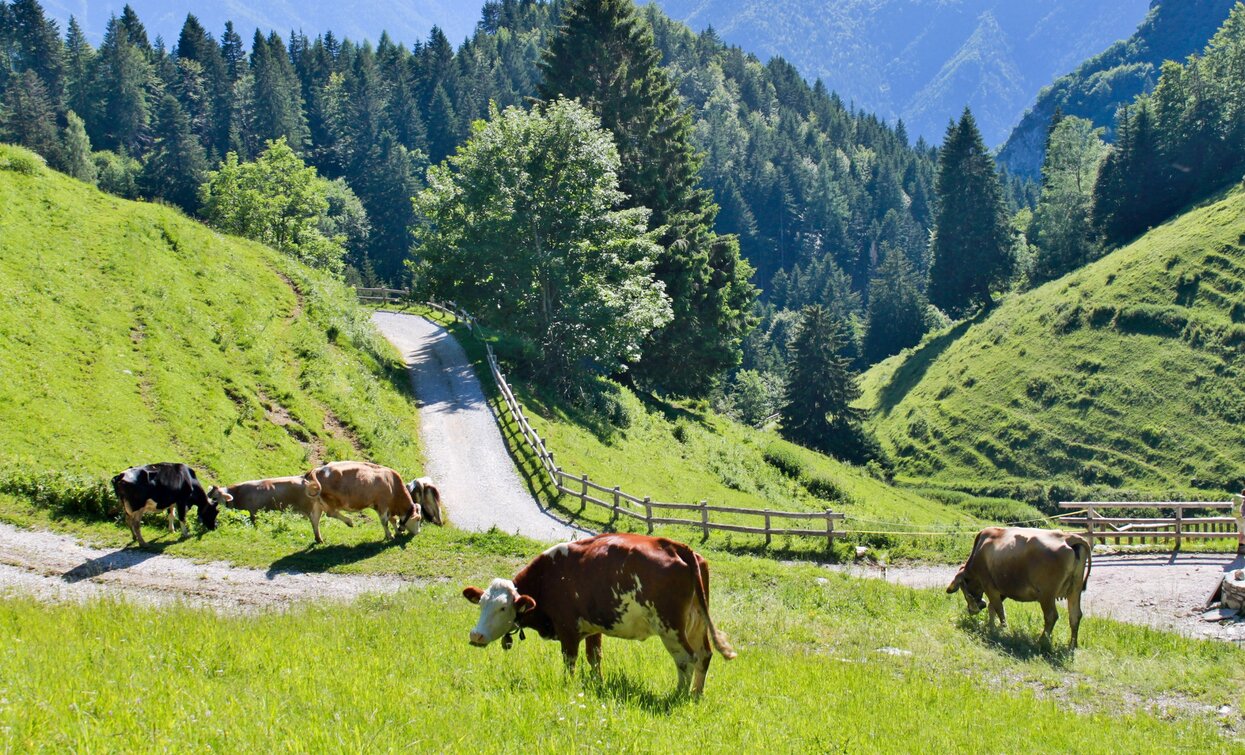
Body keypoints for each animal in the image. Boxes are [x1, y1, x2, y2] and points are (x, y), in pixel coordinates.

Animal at [463, 533, 732, 697]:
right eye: (482, 603)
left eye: (502, 607)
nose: (476, 635)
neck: (549, 577)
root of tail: (676, 546)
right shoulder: (593, 628)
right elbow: (595, 658)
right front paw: (596, 683)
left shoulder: (568, 629)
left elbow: (570, 661)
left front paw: (568, 686)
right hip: (696, 623)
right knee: (704, 655)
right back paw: (696, 694)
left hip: (670, 627)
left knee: (687, 658)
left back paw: (678, 695)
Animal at [951, 525, 1090, 652]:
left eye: (963, 589)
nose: (973, 610)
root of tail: (1068, 538)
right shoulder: (1002, 588)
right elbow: (992, 608)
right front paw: (991, 626)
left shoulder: (989, 586)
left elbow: (998, 609)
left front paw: (1002, 629)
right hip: (1075, 589)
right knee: (1075, 615)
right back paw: (1072, 646)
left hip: (1046, 594)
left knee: (1051, 616)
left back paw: (1041, 641)